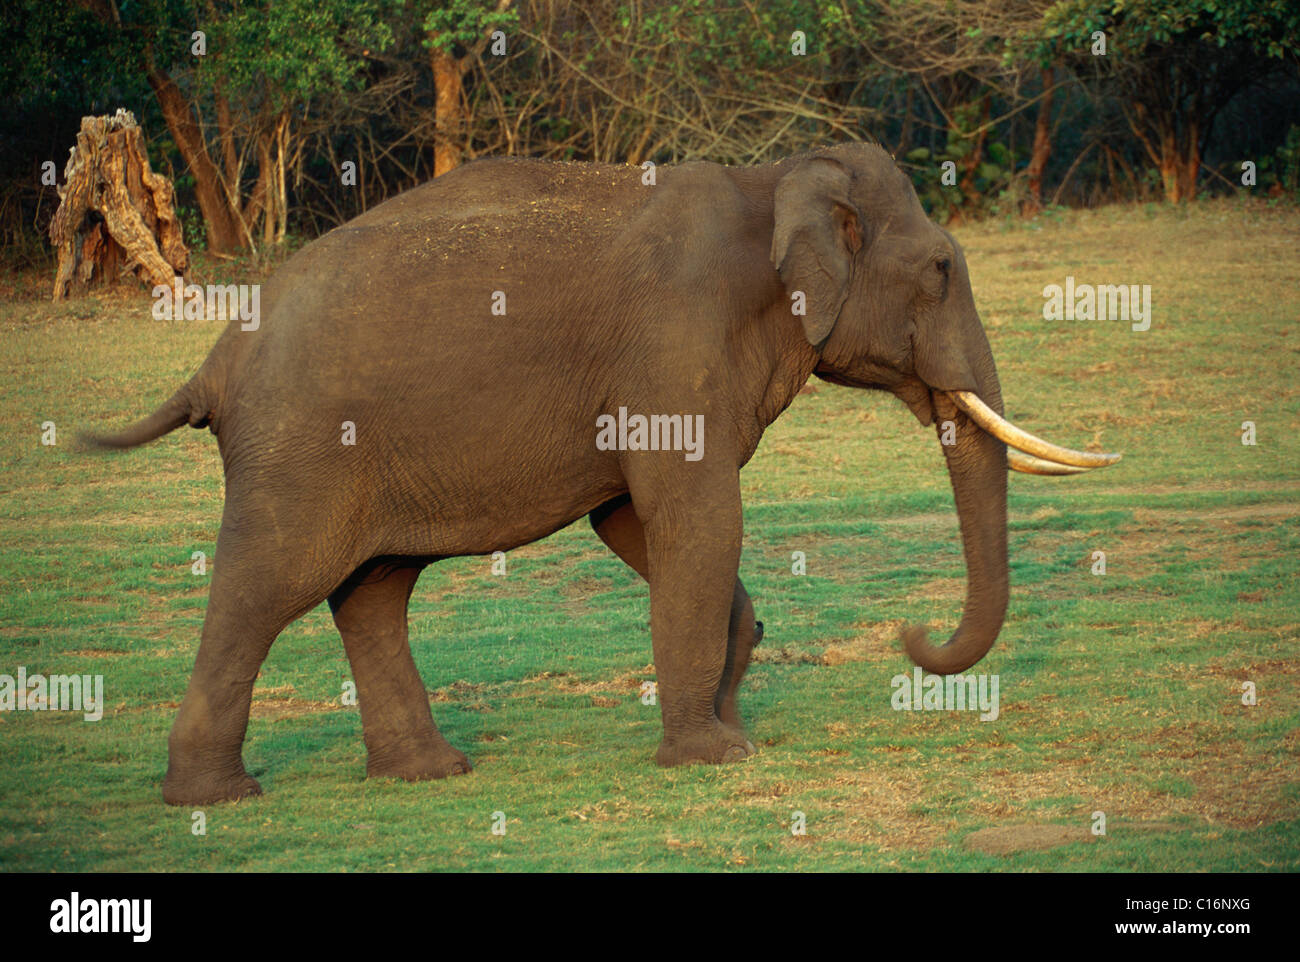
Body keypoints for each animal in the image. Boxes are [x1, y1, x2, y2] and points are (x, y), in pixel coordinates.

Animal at [89, 141, 1118, 806]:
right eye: (941, 269)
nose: (912, 633)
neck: (773, 178)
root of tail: (215, 360)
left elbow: (635, 519)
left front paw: (728, 712)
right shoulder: (676, 340)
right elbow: (693, 512)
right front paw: (715, 757)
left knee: (374, 589)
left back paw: (431, 774)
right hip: (299, 449)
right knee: (269, 584)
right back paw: (216, 799)